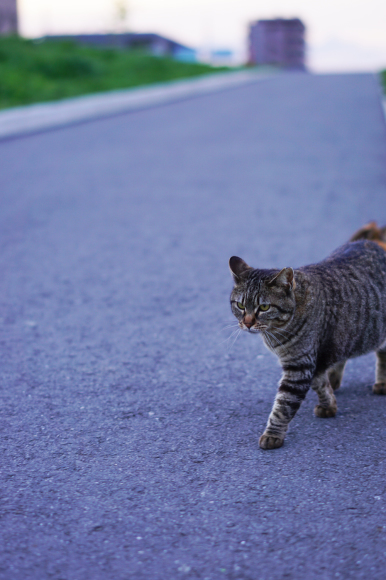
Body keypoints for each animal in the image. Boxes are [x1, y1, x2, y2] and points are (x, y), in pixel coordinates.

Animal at [229, 222, 386, 448]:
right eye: (241, 305)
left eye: (264, 307)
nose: (247, 323)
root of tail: (373, 243)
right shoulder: (310, 361)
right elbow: (319, 382)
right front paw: (329, 404)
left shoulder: (299, 366)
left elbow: (283, 406)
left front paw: (273, 434)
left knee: (381, 353)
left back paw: (381, 382)